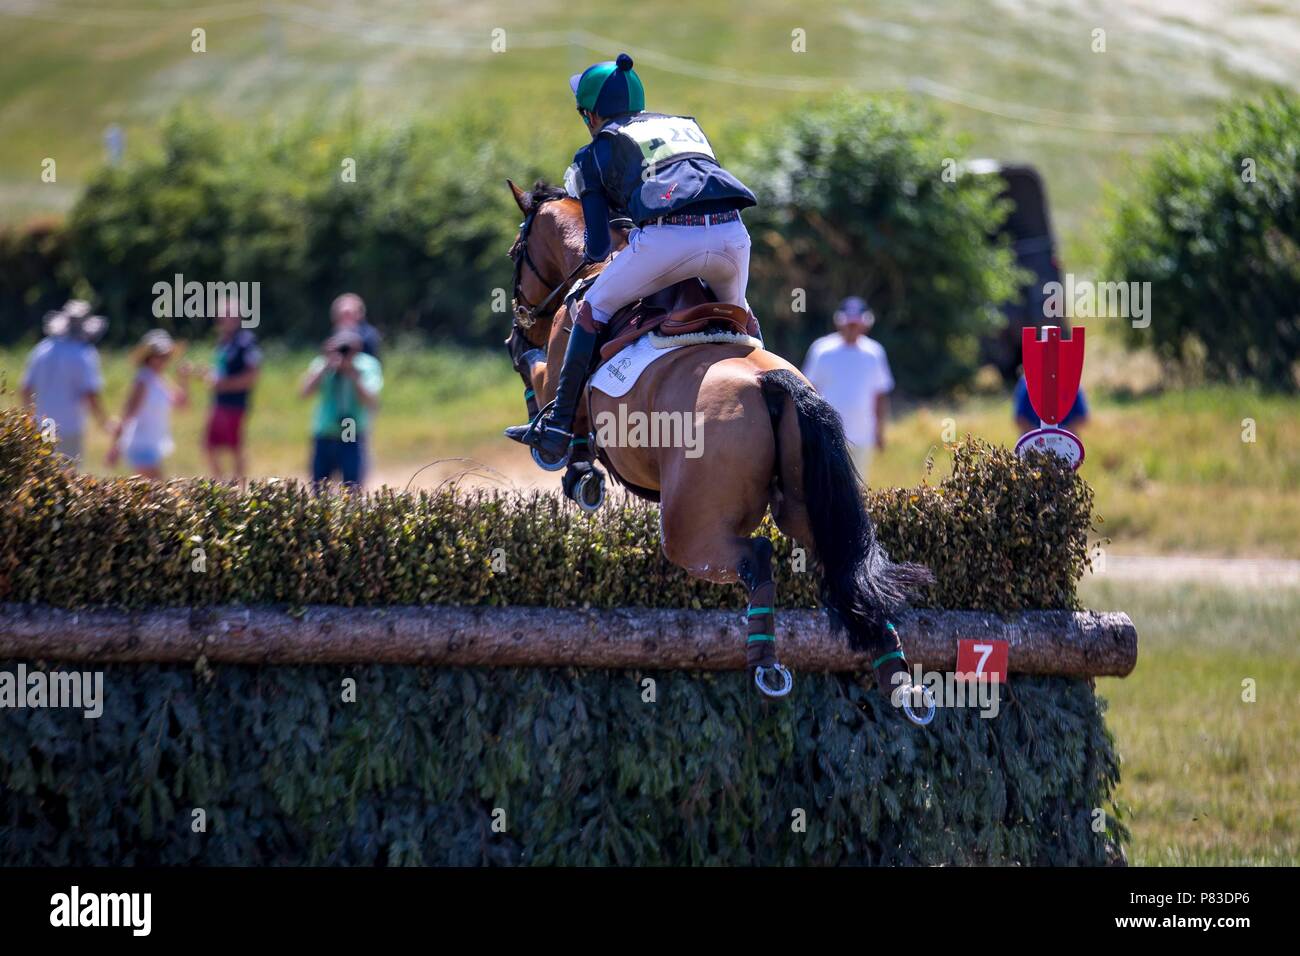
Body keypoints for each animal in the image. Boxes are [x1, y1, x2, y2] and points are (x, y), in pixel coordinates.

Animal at [504, 178, 935, 723]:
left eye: (516, 253)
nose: (520, 318)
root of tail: (774, 384)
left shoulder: (563, 355)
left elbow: (539, 375)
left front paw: (553, 446)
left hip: (690, 529)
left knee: (756, 555)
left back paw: (766, 665)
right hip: (808, 507)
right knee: (845, 567)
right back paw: (898, 678)